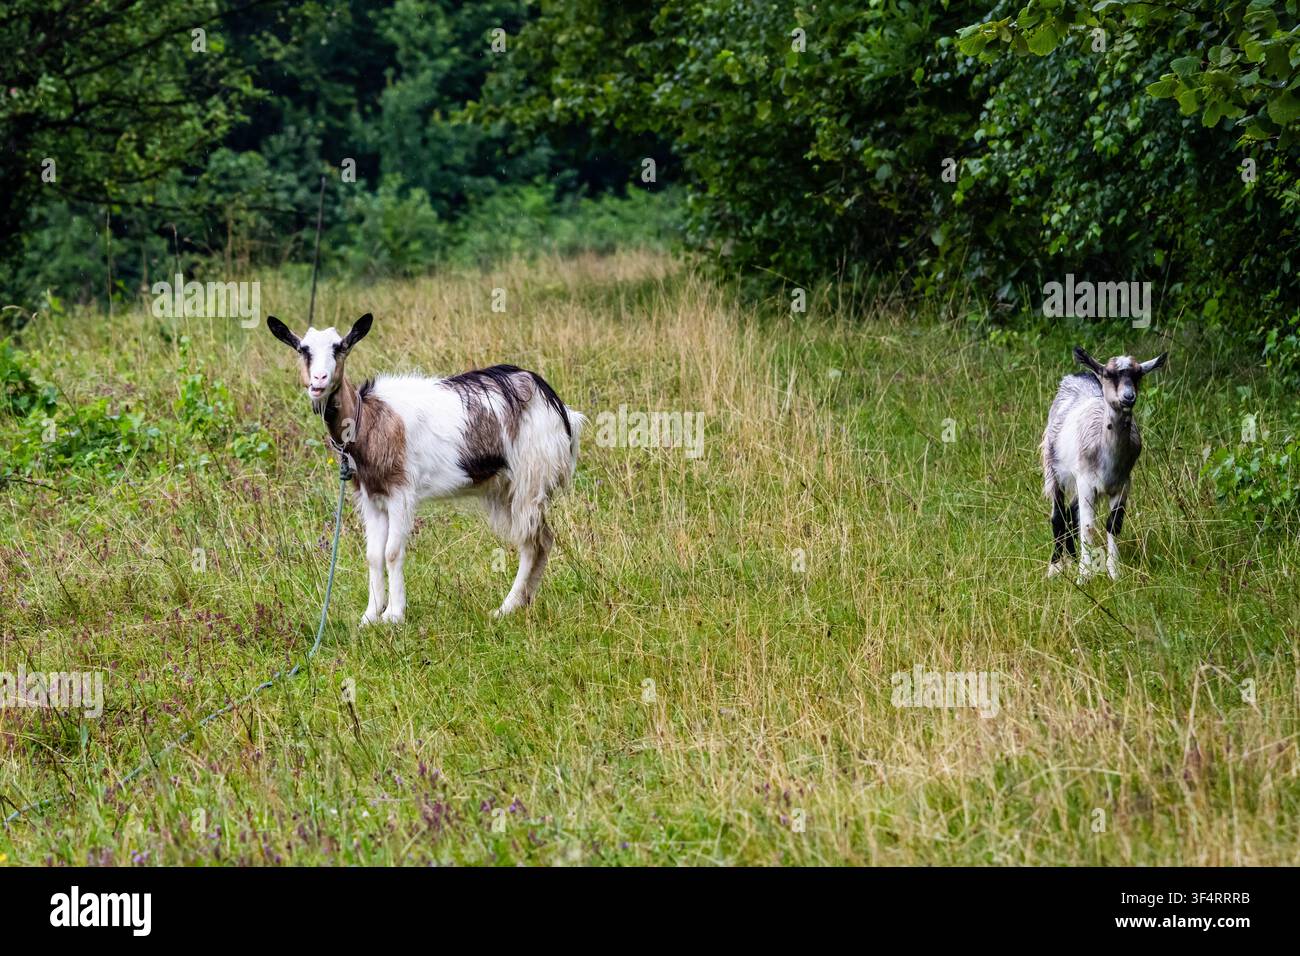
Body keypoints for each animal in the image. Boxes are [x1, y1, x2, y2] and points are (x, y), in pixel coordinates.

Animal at [267, 313, 584, 623]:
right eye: (303, 349)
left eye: (340, 347)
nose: (318, 381)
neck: (368, 420)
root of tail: (559, 408)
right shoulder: (371, 497)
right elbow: (373, 555)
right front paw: (370, 615)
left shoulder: (401, 491)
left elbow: (392, 552)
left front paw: (394, 614)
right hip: (505, 487)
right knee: (543, 540)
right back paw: (523, 604)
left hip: (529, 478)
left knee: (531, 543)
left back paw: (506, 607)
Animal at [1041, 347, 1167, 582]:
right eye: (1108, 374)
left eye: (1138, 375)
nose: (1128, 397)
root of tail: (1080, 374)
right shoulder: (1086, 482)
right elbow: (1088, 526)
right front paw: (1084, 575)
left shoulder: (1123, 483)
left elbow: (1113, 524)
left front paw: (1113, 572)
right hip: (1052, 467)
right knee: (1058, 515)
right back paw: (1055, 568)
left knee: (1071, 513)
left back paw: (1072, 560)